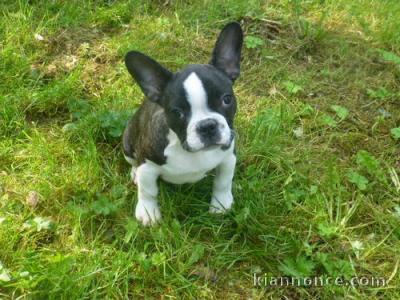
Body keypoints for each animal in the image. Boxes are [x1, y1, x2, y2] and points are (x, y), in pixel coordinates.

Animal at [122, 21, 244, 225]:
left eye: (227, 99)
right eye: (177, 112)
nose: (207, 126)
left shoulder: (228, 157)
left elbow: (223, 182)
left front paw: (220, 204)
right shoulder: (147, 165)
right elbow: (148, 191)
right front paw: (148, 211)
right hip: (127, 141)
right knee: (133, 162)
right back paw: (134, 174)